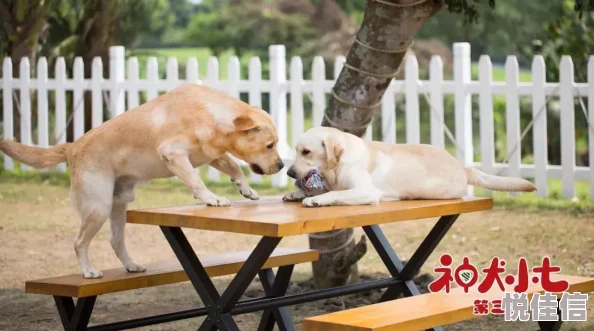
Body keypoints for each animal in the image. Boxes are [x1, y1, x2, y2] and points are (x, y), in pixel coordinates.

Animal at [0, 84, 284, 278]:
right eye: (270, 145)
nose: (281, 165)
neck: (209, 114)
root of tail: (72, 146)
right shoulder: (173, 153)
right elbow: (195, 179)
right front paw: (210, 198)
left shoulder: (212, 155)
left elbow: (235, 166)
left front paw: (246, 189)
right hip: (98, 207)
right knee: (79, 242)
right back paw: (89, 271)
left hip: (118, 206)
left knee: (115, 241)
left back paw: (131, 265)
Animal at [284, 127, 536, 208]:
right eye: (296, 150)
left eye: (306, 152)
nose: (289, 172)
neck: (336, 167)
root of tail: (462, 167)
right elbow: (327, 189)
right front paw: (296, 193)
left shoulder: (366, 191)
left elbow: (335, 193)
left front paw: (316, 199)